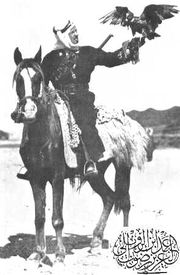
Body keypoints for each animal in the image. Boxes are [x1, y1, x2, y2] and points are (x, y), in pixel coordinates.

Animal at [10, 47, 153, 268]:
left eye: (38, 79)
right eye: (18, 79)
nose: (28, 113)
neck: (42, 135)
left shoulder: (57, 178)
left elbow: (57, 218)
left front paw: (59, 255)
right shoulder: (35, 179)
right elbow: (39, 217)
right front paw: (38, 254)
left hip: (122, 167)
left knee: (124, 202)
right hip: (96, 174)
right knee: (109, 198)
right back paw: (95, 243)